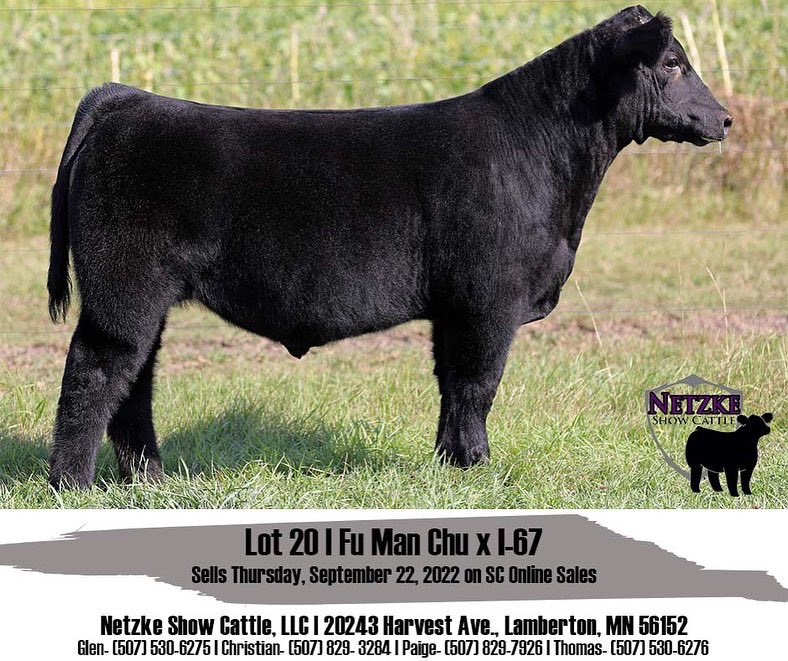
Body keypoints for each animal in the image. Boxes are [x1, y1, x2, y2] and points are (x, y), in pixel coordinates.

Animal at [47, 6, 732, 489]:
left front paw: (451, 465)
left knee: (134, 380)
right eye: (672, 63)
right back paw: (72, 485)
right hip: (123, 289)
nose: (724, 118)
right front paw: (479, 469)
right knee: (96, 372)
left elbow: (452, 385)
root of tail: (126, 98)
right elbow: (478, 384)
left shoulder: (455, 308)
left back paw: (149, 480)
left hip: (145, 298)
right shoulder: (489, 300)